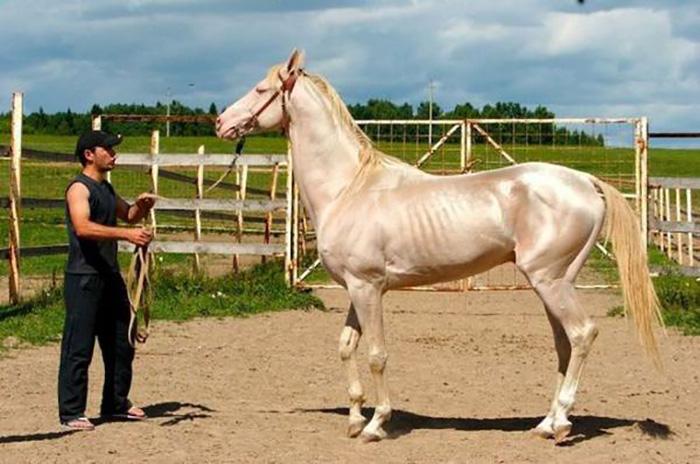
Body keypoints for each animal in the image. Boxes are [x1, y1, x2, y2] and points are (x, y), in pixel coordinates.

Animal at [216, 49, 664, 442]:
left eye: (260, 89)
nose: (221, 122)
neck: (350, 188)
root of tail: (585, 181)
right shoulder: (356, 289)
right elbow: (346, 347)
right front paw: (355, 419)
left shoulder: (368, 288)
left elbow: (376, 353)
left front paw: (376, 425)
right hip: (556, 284)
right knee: (564, 344)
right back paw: (547, 423)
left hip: (550, 282)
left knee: (582, 334)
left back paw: (562, 426)